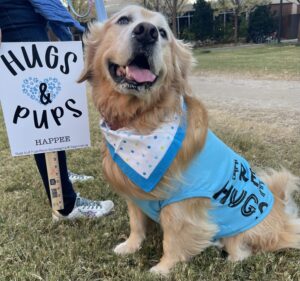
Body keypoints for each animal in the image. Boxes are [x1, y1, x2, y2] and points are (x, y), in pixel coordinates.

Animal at [78, 5, 300, 274]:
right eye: (123, 20)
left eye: (163, 32)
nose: (147, 32)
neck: (141, 122)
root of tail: (283, 217)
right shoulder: (135, 193)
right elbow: (136, 223)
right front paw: (130, 246)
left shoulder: (181, 204)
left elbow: (173, 239)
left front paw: (162, 269)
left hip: (241, 233)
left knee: (241, 250)